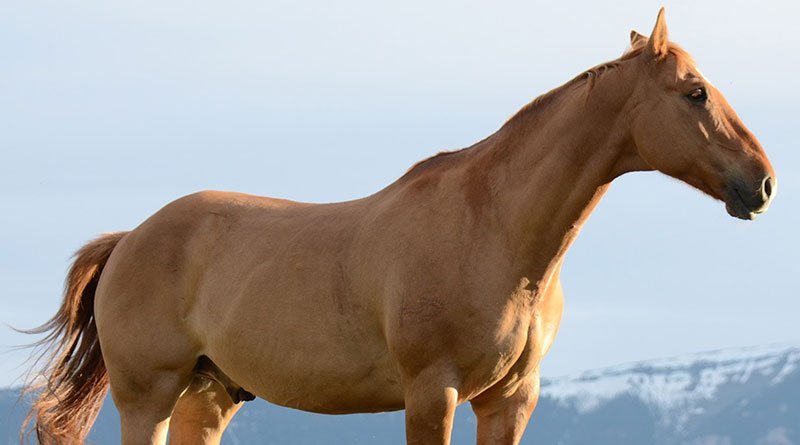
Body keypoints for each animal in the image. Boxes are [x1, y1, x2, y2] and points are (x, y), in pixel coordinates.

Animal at [23, 8, 775, 445]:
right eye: (695, 92)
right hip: (147, 394)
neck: (494, 232)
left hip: (208, 396)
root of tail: (129, 239)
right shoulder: (431, 393)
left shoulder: (510, 401)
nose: (763, 182)